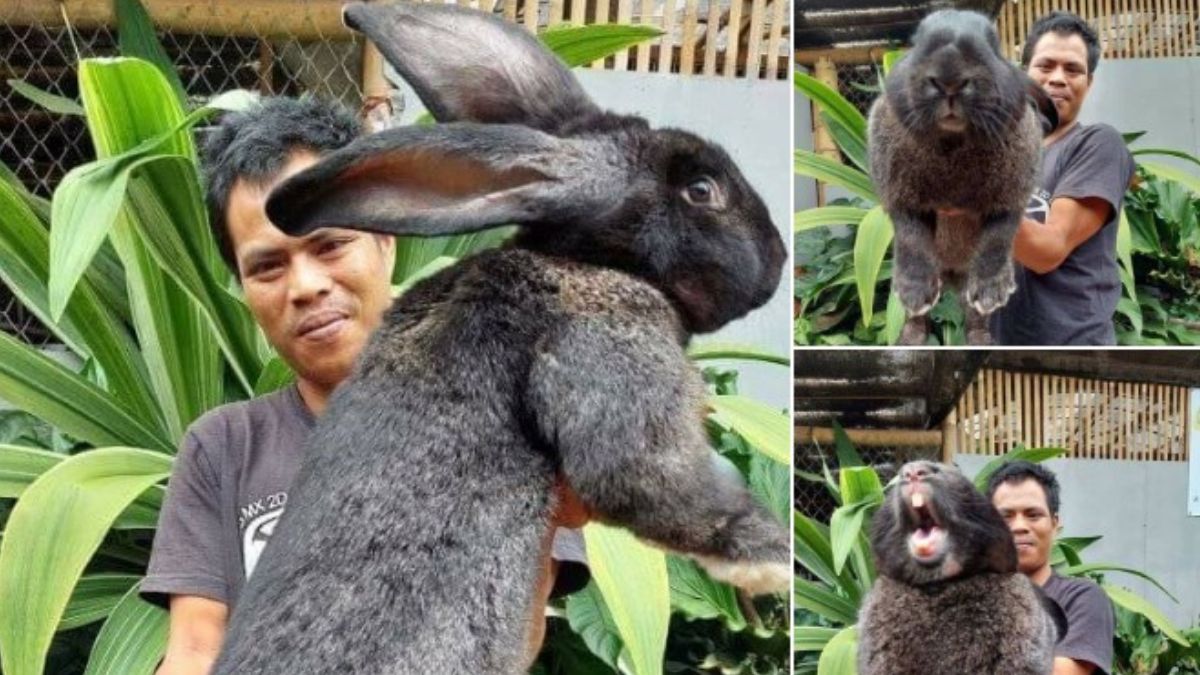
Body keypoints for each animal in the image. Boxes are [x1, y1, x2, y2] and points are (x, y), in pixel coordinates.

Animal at [210, 3, 790, 674]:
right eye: (702, 190)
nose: (779, 260)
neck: (582, 260)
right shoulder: (616, 361)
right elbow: (654, 479)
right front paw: (773, 561)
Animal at [868, 9, 1058, 345]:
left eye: (992, 43)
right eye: (918, 40)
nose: (949, 80)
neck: (952, 141)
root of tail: (951, 276)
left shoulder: (1011, 199)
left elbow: (998, 237)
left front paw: (994, 291)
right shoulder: (900, 199)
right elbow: (911, 238)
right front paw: (913, 292)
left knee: (974, 314)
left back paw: (981, 338)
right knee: (918, 316)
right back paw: (910, 338)